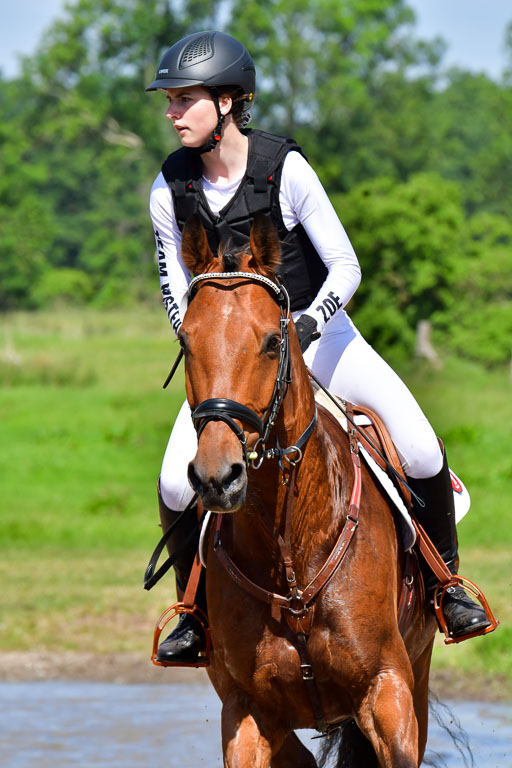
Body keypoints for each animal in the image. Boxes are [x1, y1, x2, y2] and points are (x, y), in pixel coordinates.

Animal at [177, 212, 438, 768]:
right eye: (185, 343)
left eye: (272, 343)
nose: (217, 477)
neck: (290, 552)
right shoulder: (248, 712)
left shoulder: (388, 691)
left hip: (420, 672)